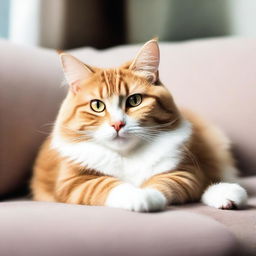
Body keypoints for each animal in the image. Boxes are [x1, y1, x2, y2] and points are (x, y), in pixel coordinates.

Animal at [31, 39, 247, 212]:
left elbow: (162, 182)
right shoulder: (72, 183)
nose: (117, 124)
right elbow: (106, 184)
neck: (127, 156)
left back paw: (228, 195)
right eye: (97, 105)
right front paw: (139, 196)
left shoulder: (186, 173)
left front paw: (148, 194)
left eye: (134, 101)